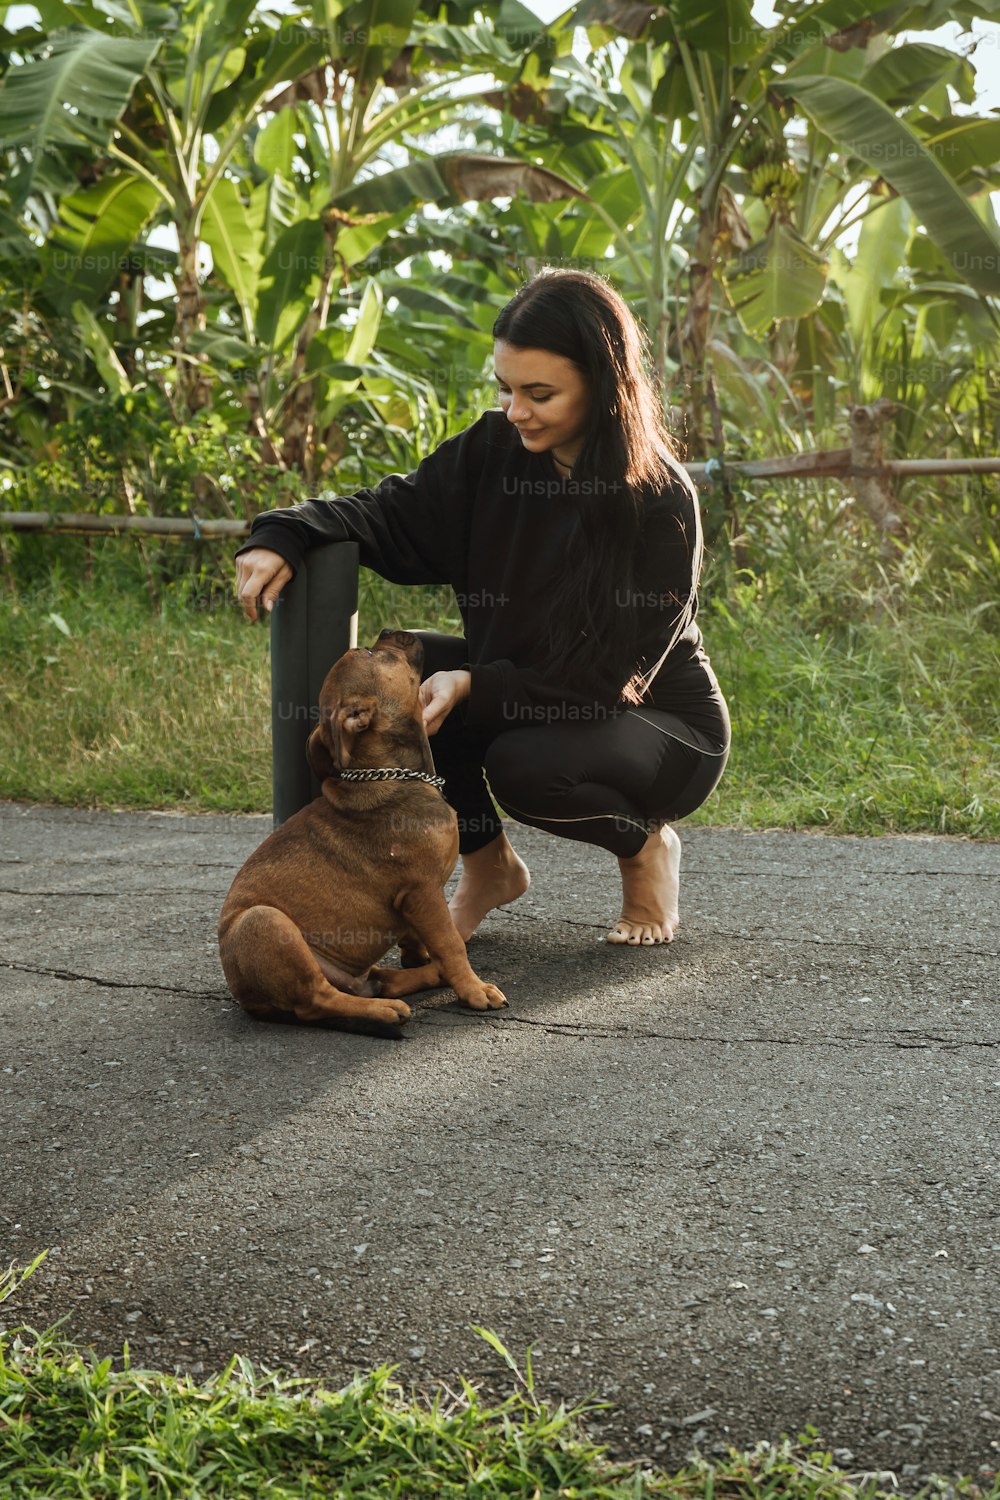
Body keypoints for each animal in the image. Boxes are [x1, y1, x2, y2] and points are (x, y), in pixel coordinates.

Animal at [215, 630, 503, 1032]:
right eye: (371, 651)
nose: (388, 631)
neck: (392, 774)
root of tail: (245, 997)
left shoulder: (415, 902)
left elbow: (420, 940)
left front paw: (432, 962)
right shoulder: (422, 893)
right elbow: (450, 943)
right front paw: (474, 989)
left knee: (377, 981)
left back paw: (422, 978)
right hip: (265, 923)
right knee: (318, 1001)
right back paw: (385, 1012)